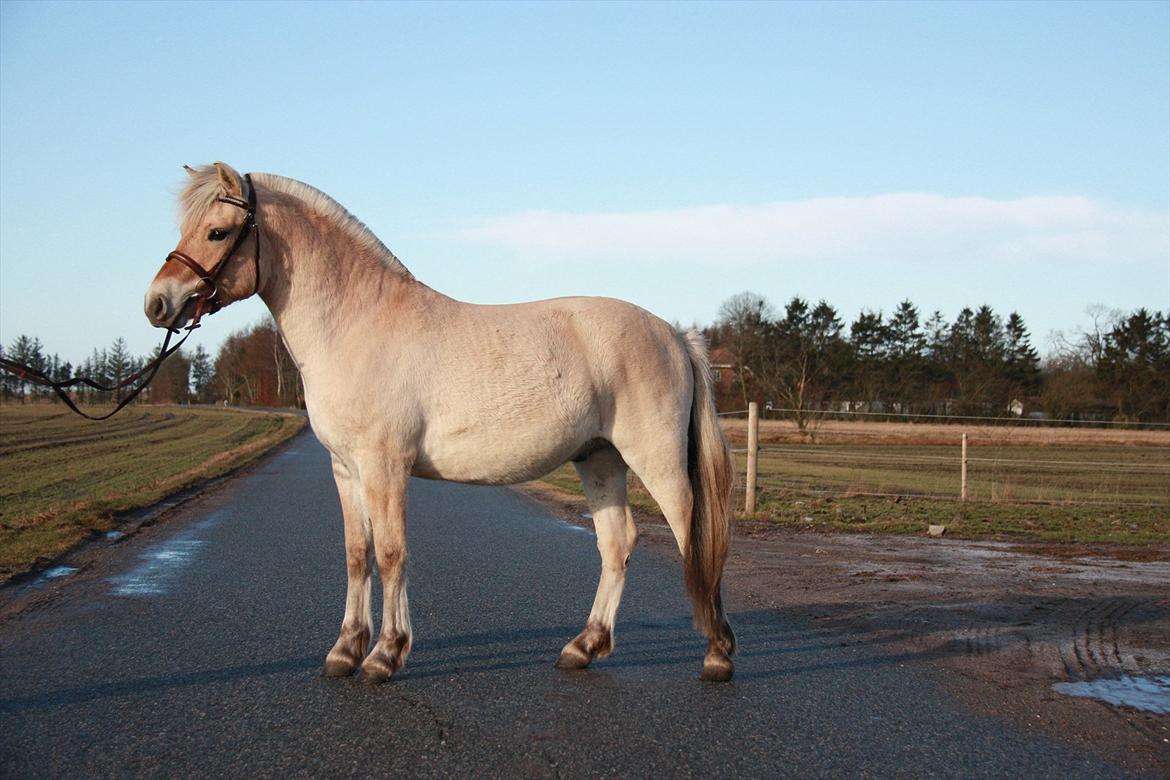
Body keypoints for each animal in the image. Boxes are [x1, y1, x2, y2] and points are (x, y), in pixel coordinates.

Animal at [141, 163, 734, 682]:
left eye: (217, 231)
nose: (157, 303)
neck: (358, 324)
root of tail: (675, 333)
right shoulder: (345, 468)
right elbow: (357, 554)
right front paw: (344, 651)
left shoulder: (384, 466)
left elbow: (391, 553)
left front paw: (385, 654)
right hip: (599, 459)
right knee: (616, 544)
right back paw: (583, 646)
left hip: (655, 460)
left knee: (693, 538)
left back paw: (717, 655)